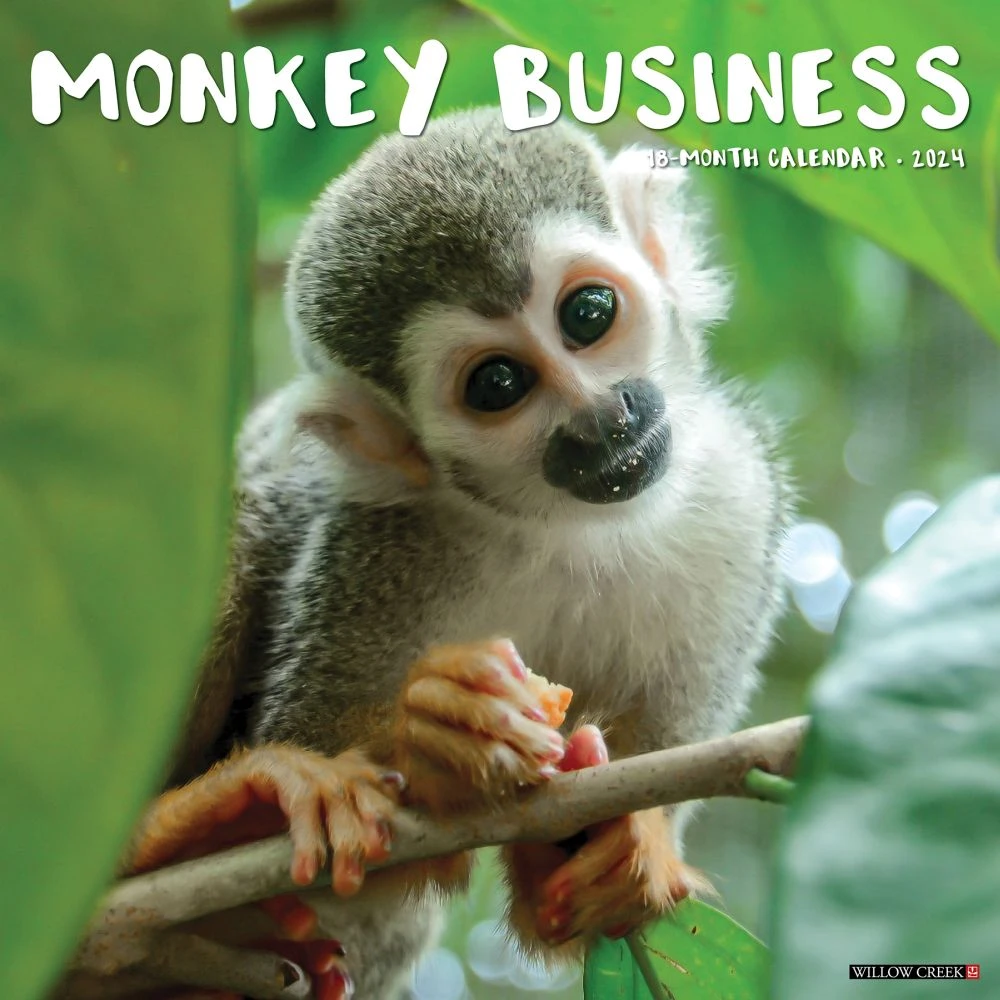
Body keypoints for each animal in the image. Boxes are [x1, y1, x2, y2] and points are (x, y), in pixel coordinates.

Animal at [115, 106, 790, 1000]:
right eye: (498, 384)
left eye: (588, 314)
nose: (602, 420)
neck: (563, 528)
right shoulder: (373, 553)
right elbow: (336, 834)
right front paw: (437, 737)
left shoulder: (735, 507)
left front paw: (616, 852)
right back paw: (181, 831)